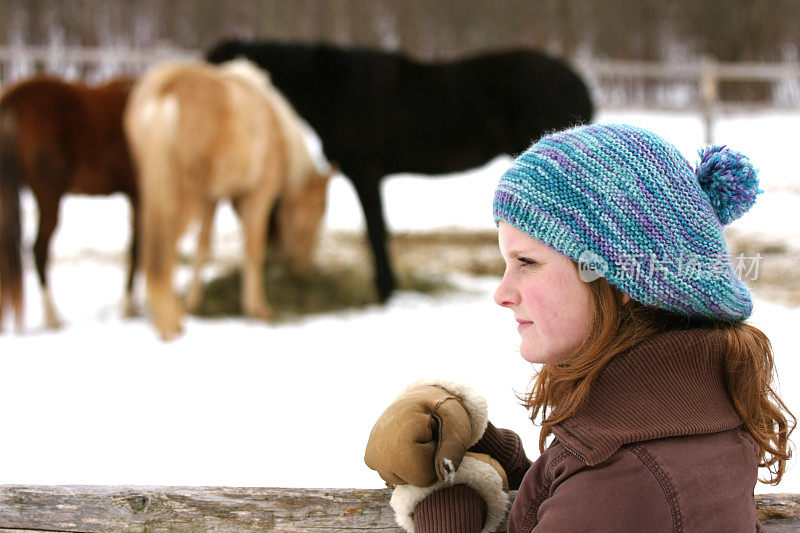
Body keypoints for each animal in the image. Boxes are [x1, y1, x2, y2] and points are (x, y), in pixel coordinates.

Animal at [0, 76, 137, 330]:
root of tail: (13, 98)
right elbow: (137, 249)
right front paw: (130, 307)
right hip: (48, 195)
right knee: (39, 249)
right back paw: (53, 317)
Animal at [127, 59, 332, 340]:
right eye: (319, 211)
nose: (302, 267)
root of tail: (165, 90)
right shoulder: (258, 194)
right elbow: (253, 248)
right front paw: (257, 307)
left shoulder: (211, 198)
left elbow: (203, 246)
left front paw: (193, 302)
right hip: (181, 202)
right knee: (162, 253)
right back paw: (168, 321)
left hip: (157, 194)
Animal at [206, 39, 592, 302]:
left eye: (218, 70)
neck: (335, 90)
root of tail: (577, 80)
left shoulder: (365, 174)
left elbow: (376, 232)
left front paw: (385, 291)